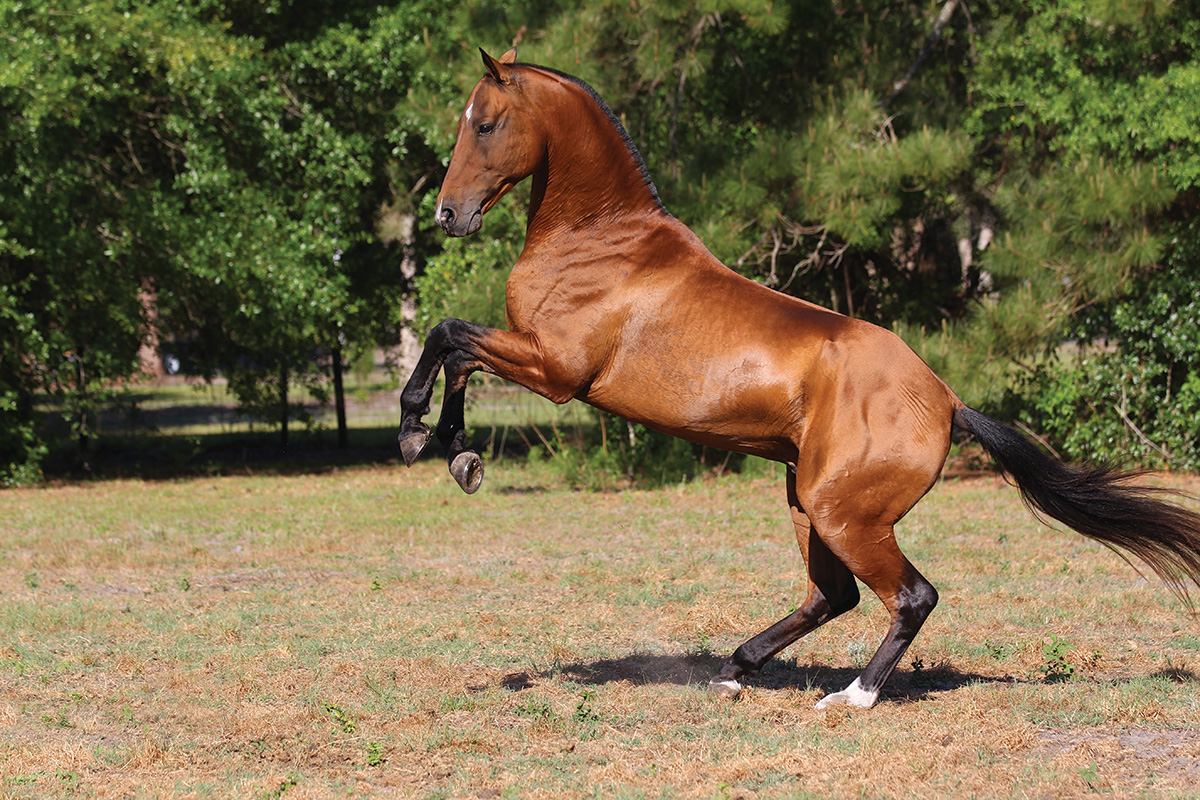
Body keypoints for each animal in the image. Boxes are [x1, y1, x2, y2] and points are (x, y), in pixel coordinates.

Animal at [400, 48, 1200, 705]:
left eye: (486, 125)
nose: (447, 215)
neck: (599, 240)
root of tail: (946, 399)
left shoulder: (555, 367)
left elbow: (449, 338)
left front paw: (426, 437)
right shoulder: (535, 356)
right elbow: (455, 348)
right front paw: (453, 450)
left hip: (841, 511)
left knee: (910, 595)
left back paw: (853, 695)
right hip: (806, 501)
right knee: (832, 597)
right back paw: (735, 669)